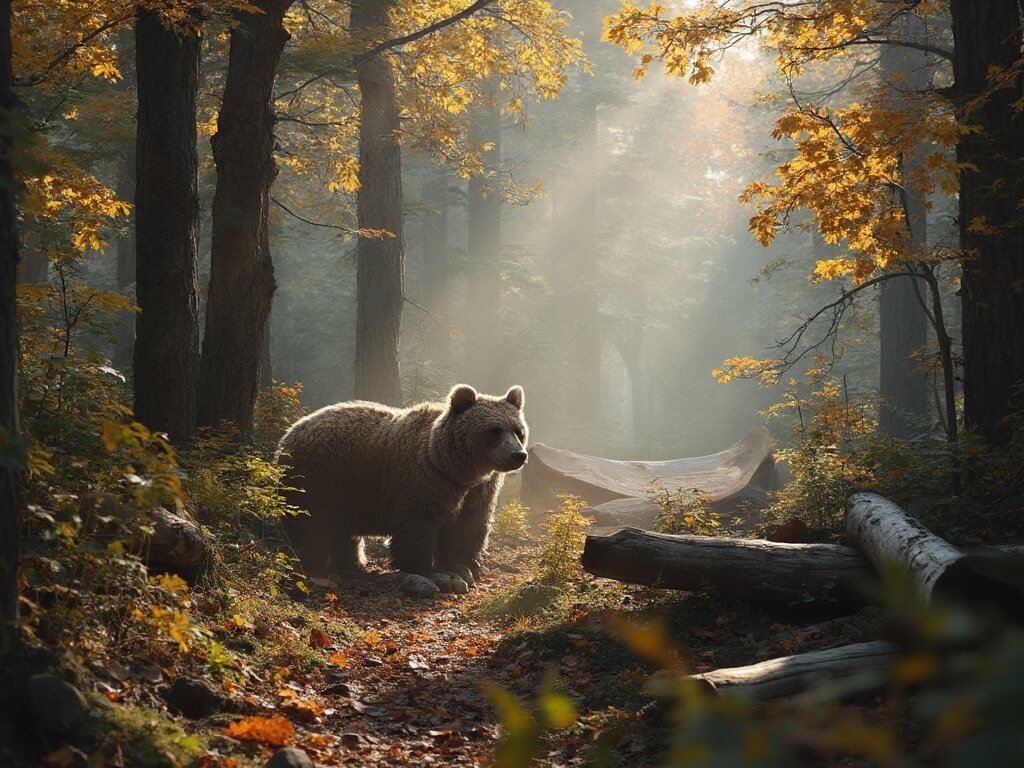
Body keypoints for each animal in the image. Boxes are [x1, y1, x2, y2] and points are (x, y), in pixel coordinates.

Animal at [275, 384, 528, 593]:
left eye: (518, 430)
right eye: (494, 430)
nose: (518, 455)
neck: (456, 470)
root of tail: (287, 435)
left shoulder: (477, 492)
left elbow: (469, 526)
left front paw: (466, 564)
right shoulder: (423, 481)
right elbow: (417, 527)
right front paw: (427, 569)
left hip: (344, 489)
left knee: (342, 530)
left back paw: (352, 562)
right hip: (315, 480)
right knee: (310, 525)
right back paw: (315, 561)